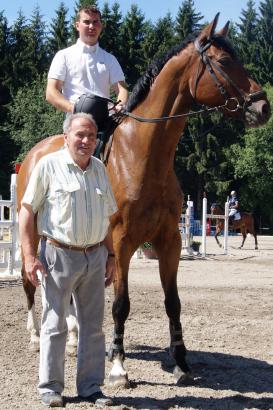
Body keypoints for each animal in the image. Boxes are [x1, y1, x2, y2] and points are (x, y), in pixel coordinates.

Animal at [17, 15, 270, 388]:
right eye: (224, 62)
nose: (262, 106)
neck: (142, 155)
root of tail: (32, 155)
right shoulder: (121, 243)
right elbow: (121, 304)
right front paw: (118, 367)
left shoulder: (170, 241)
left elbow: (173, 302)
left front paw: (181, 362)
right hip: (33, 237)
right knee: (31, 282)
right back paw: (36, 337)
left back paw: (75, 338)